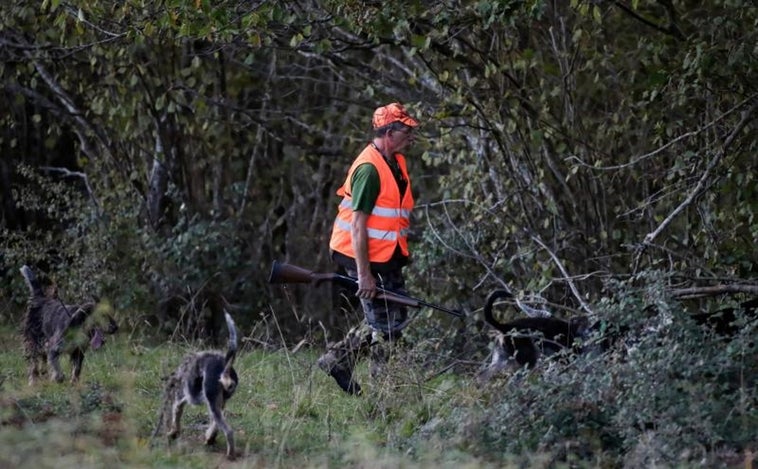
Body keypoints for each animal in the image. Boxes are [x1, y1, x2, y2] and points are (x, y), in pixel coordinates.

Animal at [152, 308, 240, 458]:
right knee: (217, 423)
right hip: (218, 403)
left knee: (228, 431)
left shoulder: (185, 397)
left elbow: (176, 413)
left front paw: (173, 433)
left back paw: (230, 454)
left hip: (210, 402)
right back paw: (211, 439)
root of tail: (225, 367)